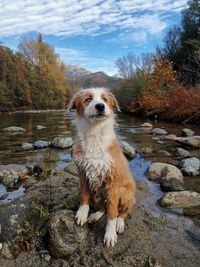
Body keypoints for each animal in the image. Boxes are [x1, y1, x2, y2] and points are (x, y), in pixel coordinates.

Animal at [68, 88, 136, 249]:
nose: (100, 106)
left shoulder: (113, 183)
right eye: (88, 99)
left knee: (121, 212)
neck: (95, 134)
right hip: (96, 190)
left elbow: (112, 213)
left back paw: (120, 223)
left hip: (125, 193)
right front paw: (82, 213)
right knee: (102, 208)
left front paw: (110, 234)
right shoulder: (83, 174)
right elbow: (83, 196)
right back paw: (94, 215)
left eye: (104, 99)